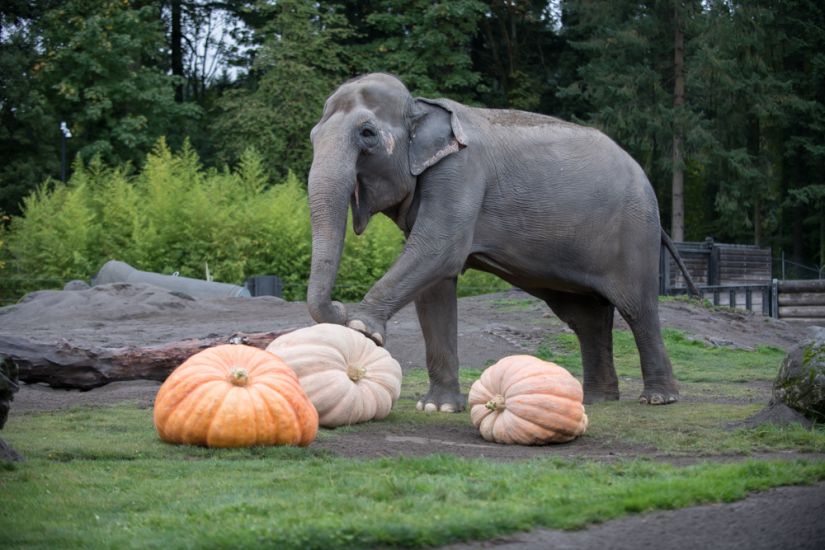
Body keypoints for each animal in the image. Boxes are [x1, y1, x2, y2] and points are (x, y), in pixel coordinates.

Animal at [306, 73, 700, 412]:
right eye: (313, 136)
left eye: (367, 133)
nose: (338, 307)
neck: (421, 106)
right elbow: (435, 285)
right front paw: (438, 407)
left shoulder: (460, 172)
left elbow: (437, 251)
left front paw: (362, 329)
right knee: (587, 318)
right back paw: (598, 400)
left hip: (635, 230)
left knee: (637, 308)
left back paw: (658, 399)